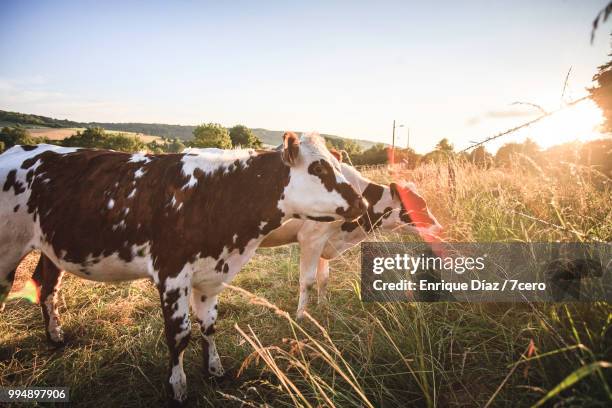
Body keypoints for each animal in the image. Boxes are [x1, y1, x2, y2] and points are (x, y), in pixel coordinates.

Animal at [0, 133, 366, 404]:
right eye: (318, 169)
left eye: (339, 164)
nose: (361, 203)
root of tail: (16, 150)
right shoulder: (172, 274)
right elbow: (179, 335)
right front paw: (177, 387)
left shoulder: (212, 273)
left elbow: (209, 325)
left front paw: (215, 371)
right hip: (8, 251)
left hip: (51, 248)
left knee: (47, 287)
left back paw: (56, 336)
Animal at [258, 159, 440, 318]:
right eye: (417, 206)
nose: (439, 228)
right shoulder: (311, 238)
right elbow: (307, 281)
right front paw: (301, 317)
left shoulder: (325, 241)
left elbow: (323, 278)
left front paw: (323, 307)